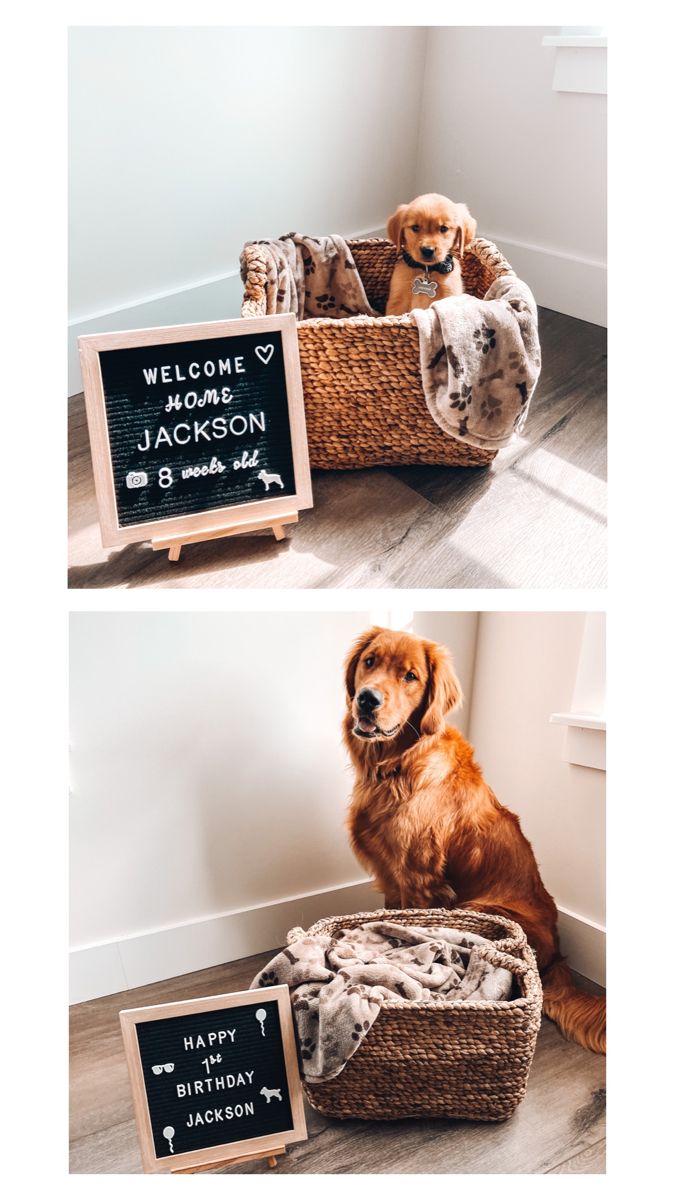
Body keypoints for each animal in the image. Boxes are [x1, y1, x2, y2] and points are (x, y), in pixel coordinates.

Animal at [341, 624, 605, 1056]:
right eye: (369, 662)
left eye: (410, 676)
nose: (367, 699)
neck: (397, 766)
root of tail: (558, 959)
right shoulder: (392, 876)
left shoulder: (419, 880)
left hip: (481, 906)